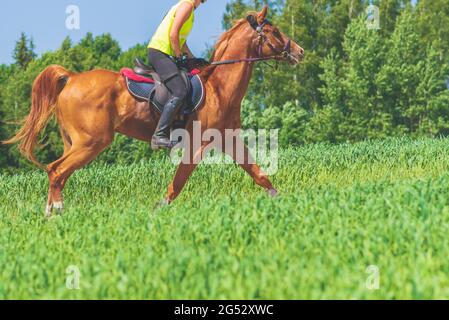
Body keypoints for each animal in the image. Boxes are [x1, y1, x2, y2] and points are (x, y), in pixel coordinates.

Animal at [3, 6, 302, 218]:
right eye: (275, 31)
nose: (299, 52)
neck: (219, 87)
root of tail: (73, 78)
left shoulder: (228, 140)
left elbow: (259, 173)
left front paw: (284, 203)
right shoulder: (197, 145)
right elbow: (177, 184)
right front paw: (157, 211)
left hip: (75, 142)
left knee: (58, 173)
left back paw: (54, 214)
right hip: (92, 142)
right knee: (56, 171)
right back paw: (55, 214)